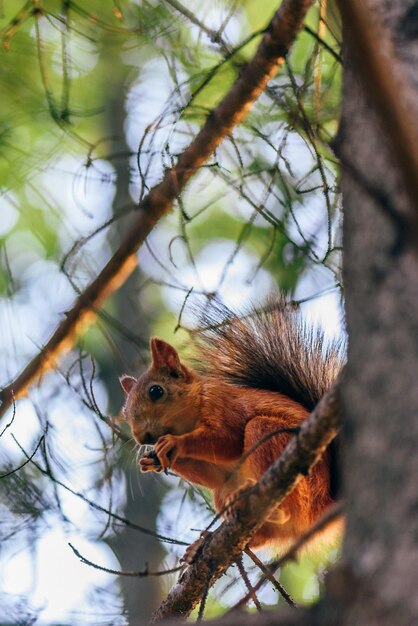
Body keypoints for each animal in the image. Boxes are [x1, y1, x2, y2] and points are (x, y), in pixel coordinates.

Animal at [119, 300, 342, 548]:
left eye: (156, 391)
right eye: (125, 413)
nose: (141, 438)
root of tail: (320, 509)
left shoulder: (223, 406)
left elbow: (227, 441)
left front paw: (174, 444)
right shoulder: (218, 474)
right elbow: (214, 476)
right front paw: (153, 460)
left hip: (274, 441)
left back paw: (272, 506)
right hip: (224, 494)